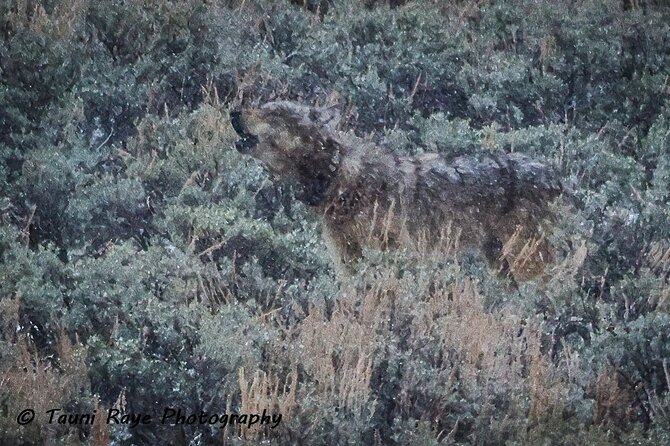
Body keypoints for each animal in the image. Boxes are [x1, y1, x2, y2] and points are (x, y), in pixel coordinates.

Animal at [231, 103, 560, 280]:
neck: (338, 177)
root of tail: (556, 176)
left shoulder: (394, 253)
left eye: (273, 114)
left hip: (527, 260)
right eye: (262, 106)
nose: (234, 112)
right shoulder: (345, 259)